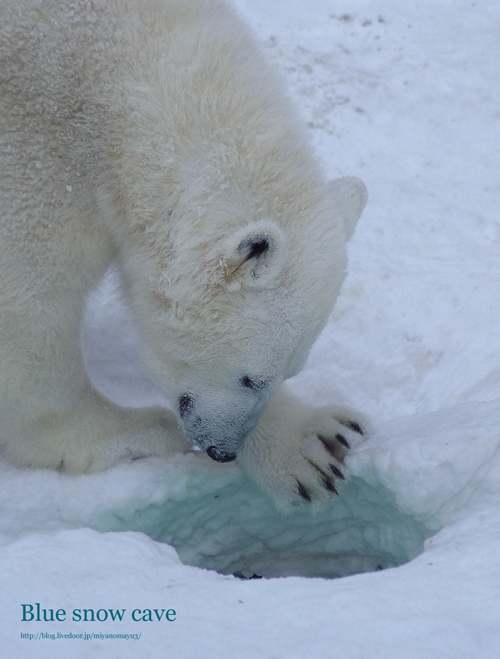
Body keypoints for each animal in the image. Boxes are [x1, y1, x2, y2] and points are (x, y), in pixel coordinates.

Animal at [0, 0, 368, 506]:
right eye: (250, 377)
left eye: (287, 374)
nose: (223, 451)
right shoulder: (32, 156)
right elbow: (29, 303)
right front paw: (134, 429)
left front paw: (315, 446)